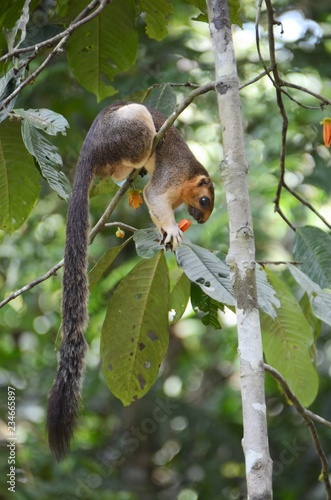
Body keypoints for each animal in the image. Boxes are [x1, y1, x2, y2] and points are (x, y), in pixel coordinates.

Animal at [46, 99, 215, 458]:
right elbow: (154, 196)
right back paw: (139, 162)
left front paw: (168, 230)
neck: (187, 182)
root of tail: (89, 149)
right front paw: (170, 230)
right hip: (131, 126)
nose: (199, 218)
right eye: (204, 201)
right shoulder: (172, 175)